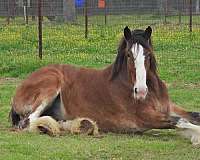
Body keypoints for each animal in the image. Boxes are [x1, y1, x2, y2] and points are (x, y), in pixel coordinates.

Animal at [9, 26, 200, 145]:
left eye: (147, 54)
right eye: (129, 55)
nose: (140, 91)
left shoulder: (168, 108)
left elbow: (193, 115)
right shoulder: (145, 118)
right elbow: (181, 121)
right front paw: (196, 138)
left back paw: (78, 124)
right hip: (51, 84)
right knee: (27, 122)